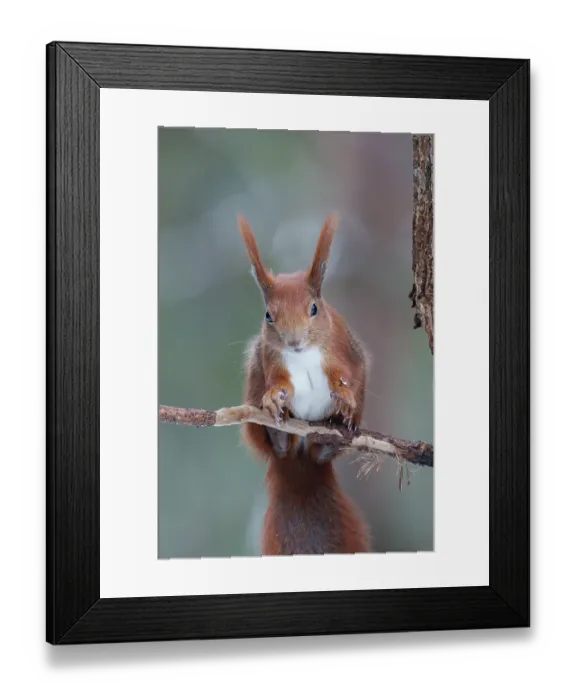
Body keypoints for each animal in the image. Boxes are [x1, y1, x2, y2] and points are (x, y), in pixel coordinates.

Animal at [237, 212, 372, 556]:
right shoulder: (271, 362)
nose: (294, 341)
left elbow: (346, 374)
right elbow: (278, 382)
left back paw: (333, 436)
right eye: (268, 315)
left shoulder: (342, 351)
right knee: (271, 441)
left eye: (314, 308)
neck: (305, 355)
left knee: (325, 450)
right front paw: (275, 396)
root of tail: (299, 458)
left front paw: (345, 396)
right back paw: (278, 435)